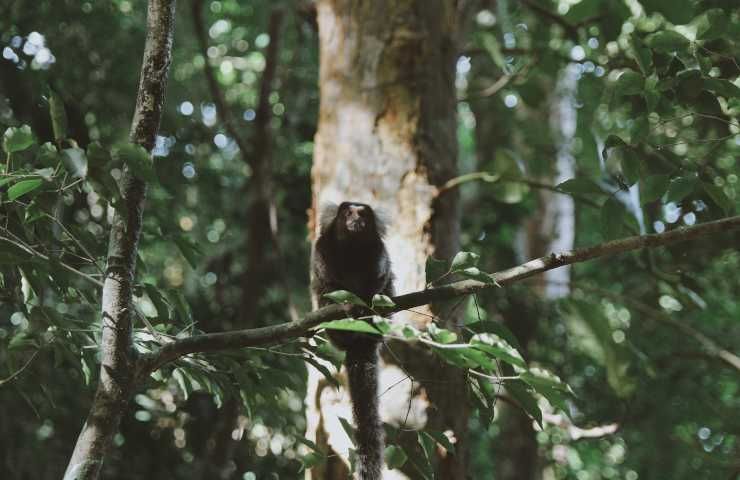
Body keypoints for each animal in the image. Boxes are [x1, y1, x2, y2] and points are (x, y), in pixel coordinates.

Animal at [310, 202, 396, 480]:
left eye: (363, 214)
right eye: (349, 212)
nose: (356, 220)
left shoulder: (377, 250)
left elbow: (381, 275)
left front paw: (367, 300)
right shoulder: (322, 249)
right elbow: (326, 282)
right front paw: (346, 302)